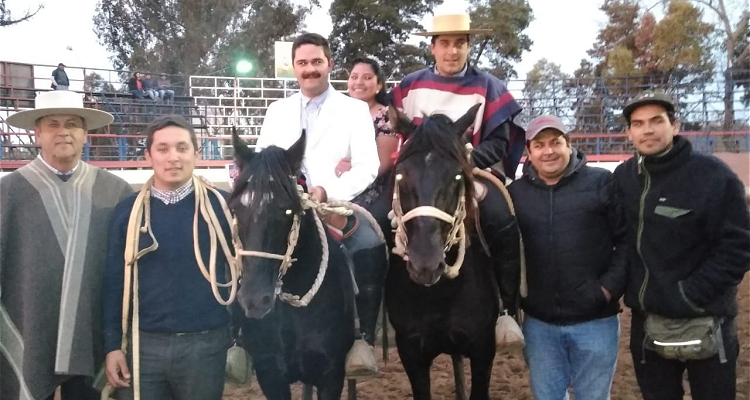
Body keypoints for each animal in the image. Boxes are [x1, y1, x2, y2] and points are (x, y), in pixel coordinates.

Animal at [384, 104, 502, 398]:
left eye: (457, 175)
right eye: (400, 174)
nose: (425, 265)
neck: (439, 294)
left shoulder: (483, 350)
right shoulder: (412, 354)